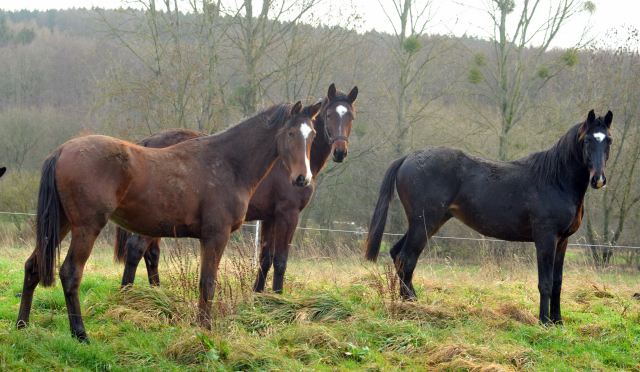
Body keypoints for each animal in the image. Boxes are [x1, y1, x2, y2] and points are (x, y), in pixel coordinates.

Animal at [16, 100, 320, 342]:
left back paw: (22, 325)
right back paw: (80, 334)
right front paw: (205, 328)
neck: (228, 163)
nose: (302, 178)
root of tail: (62, 151)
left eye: (312, 134)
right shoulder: (216, 236)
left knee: (32, 266)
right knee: (70, 273)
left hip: (62, 224)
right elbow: (208, 282)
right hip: (86, 228)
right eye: (290, 133)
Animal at [115, 83, 360, 294]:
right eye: (329, 115)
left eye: (351, 116)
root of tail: (146, 143)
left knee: (151, 254)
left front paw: (258, 295)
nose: (340, 151)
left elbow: (265, 258)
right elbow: (280, 260)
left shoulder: (269, 218)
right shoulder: (288, 215)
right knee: (137, 249)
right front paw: (278, 297)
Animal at [362, 109, 612, 324]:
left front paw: (558, 322)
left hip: (428, 223)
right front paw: (544, 322)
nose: (598, 179)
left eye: (608, 140)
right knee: (406, 259)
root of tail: (408, 158)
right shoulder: (546, 239)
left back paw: (410, 303)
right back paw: (412, 308)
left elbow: (558, 282)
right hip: (424, 222)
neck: (555, 180)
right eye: (587, 140)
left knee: (397, 255)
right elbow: (546, 282)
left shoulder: (562, 241)